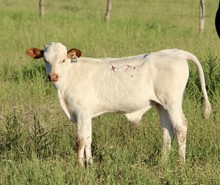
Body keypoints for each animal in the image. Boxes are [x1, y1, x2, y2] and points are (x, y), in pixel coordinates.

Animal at [27, 42, 211, 166]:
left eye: (63, 59)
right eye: (45, 60)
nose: (53, 76)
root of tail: (176, 52)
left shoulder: (81, 112)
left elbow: (80, 139)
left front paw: (79, 166)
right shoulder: (86, 114)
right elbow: (88, 138)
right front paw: (90, 164)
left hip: (172, 102)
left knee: (181, 127)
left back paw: (181, 163)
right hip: (162, 105)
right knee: (167, 131)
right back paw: (163, 162)